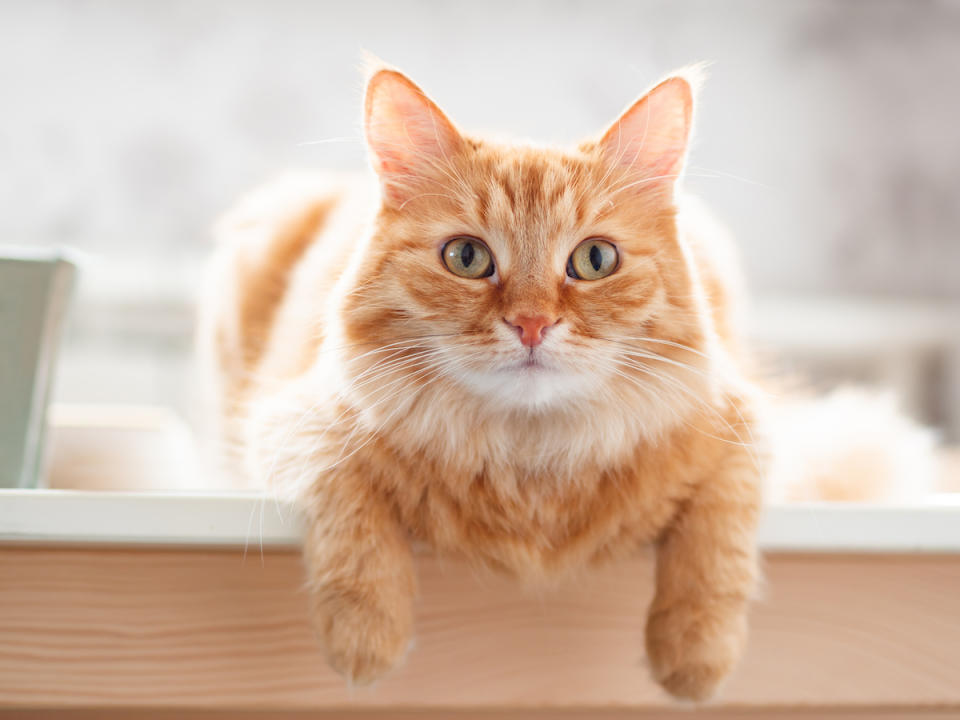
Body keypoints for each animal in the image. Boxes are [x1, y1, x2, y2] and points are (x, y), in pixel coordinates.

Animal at [199, 63, 768, 704]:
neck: (530, 462)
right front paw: (366, 640)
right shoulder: (293, 422)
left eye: (596, 259)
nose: (531, 324)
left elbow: (717, 544)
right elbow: (352, 518)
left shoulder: (744, 428)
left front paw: (694, 658)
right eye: (466, 257)